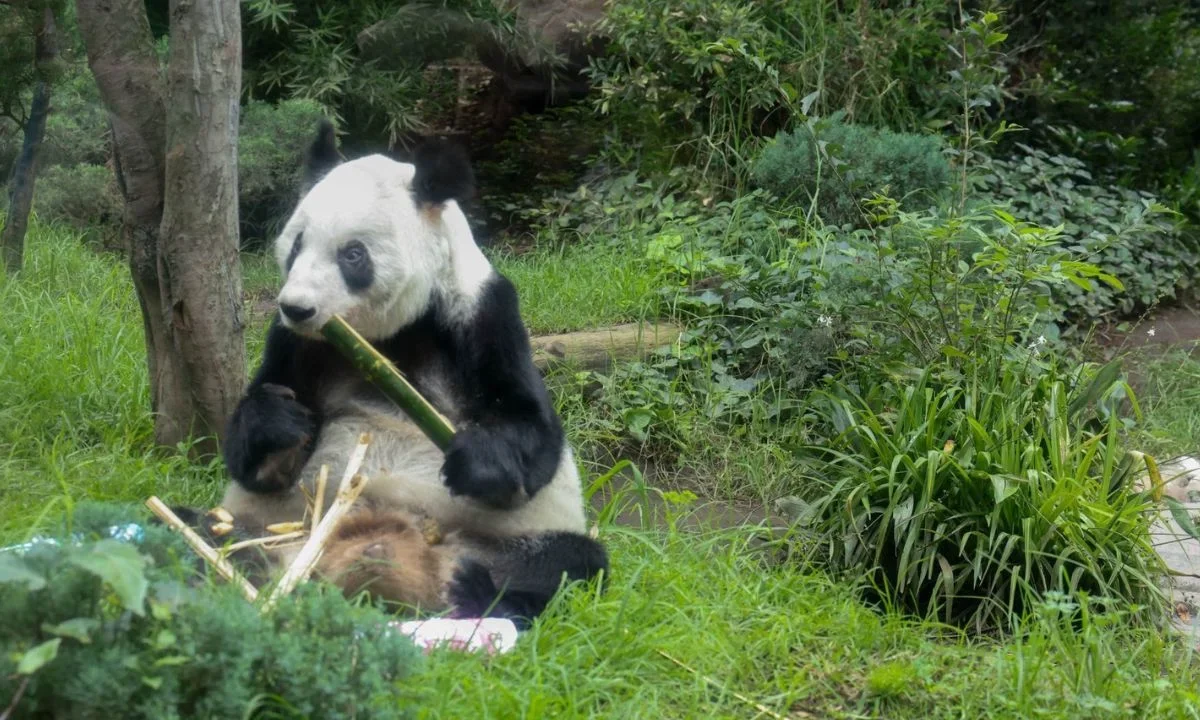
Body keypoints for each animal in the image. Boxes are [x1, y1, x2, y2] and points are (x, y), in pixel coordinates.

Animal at [178, 120, 607, 628]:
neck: (387, 337)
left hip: (507, 541)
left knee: (571, 565)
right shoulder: (295, 343)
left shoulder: (481, 313)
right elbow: (255, 461)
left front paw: (477, 457)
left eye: (353, 255)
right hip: (273, 526)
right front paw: (280, 423)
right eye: (297, 244)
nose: (297, 307)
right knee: (194, 529)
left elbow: (532, 433)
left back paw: (475, 590)